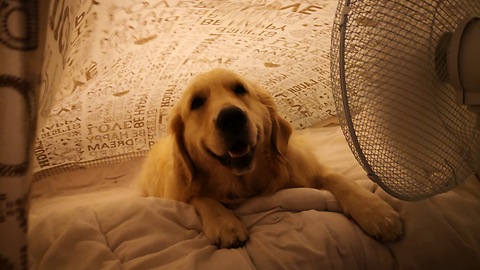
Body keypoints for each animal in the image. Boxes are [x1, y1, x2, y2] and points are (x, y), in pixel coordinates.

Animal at [138, 68, 402, 249]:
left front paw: (374, 210)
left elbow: (337, 179)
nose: (231, 118)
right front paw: (225, 223)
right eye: (196, 102)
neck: (246, 181)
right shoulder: (183, 190)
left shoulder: (305, 168)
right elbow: (201, 197)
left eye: (240, 89)